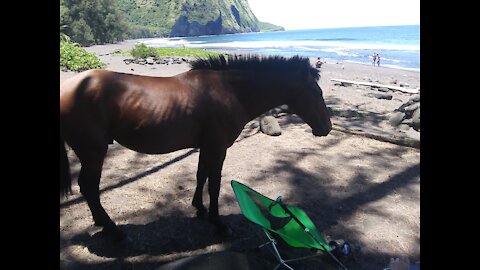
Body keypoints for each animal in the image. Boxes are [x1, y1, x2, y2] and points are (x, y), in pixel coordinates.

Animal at [59, 54, 330, 240]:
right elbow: (215, 184)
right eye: (316, 92)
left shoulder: (205, 146)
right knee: (89, 187)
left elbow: (201, 176)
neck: (229, 91)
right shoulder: (218, 148)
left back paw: (102, 223)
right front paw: (218, 223)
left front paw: (199, 208)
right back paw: (112, 229)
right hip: (93, 151)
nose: (326, 128)